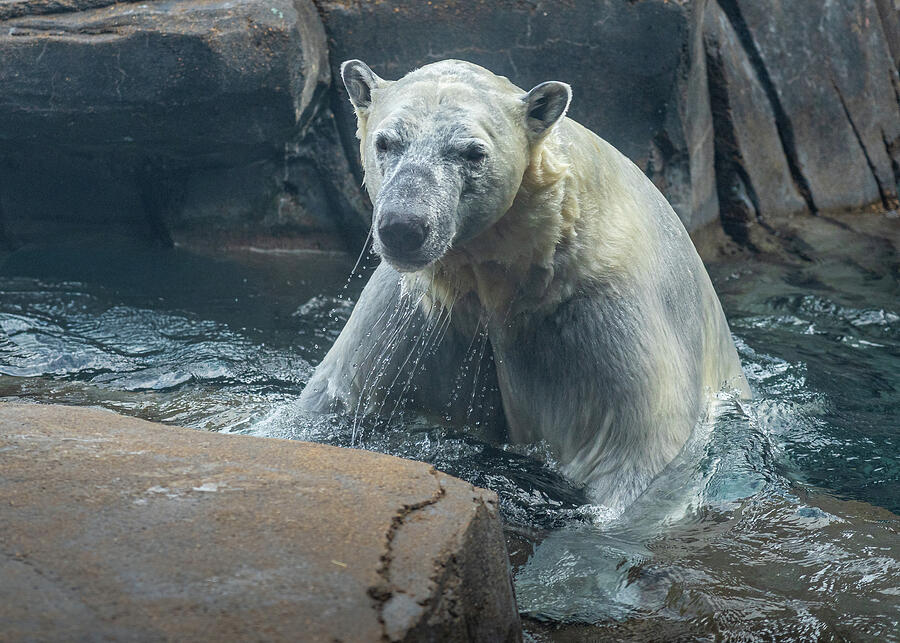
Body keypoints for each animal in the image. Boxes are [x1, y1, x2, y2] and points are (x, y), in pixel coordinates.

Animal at [299, 59, 750, 510]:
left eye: (472, 153)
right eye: (386, 142)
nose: (403, 228)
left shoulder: (599, 314)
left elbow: (635, 452)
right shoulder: (422, 312)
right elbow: (335, 403)